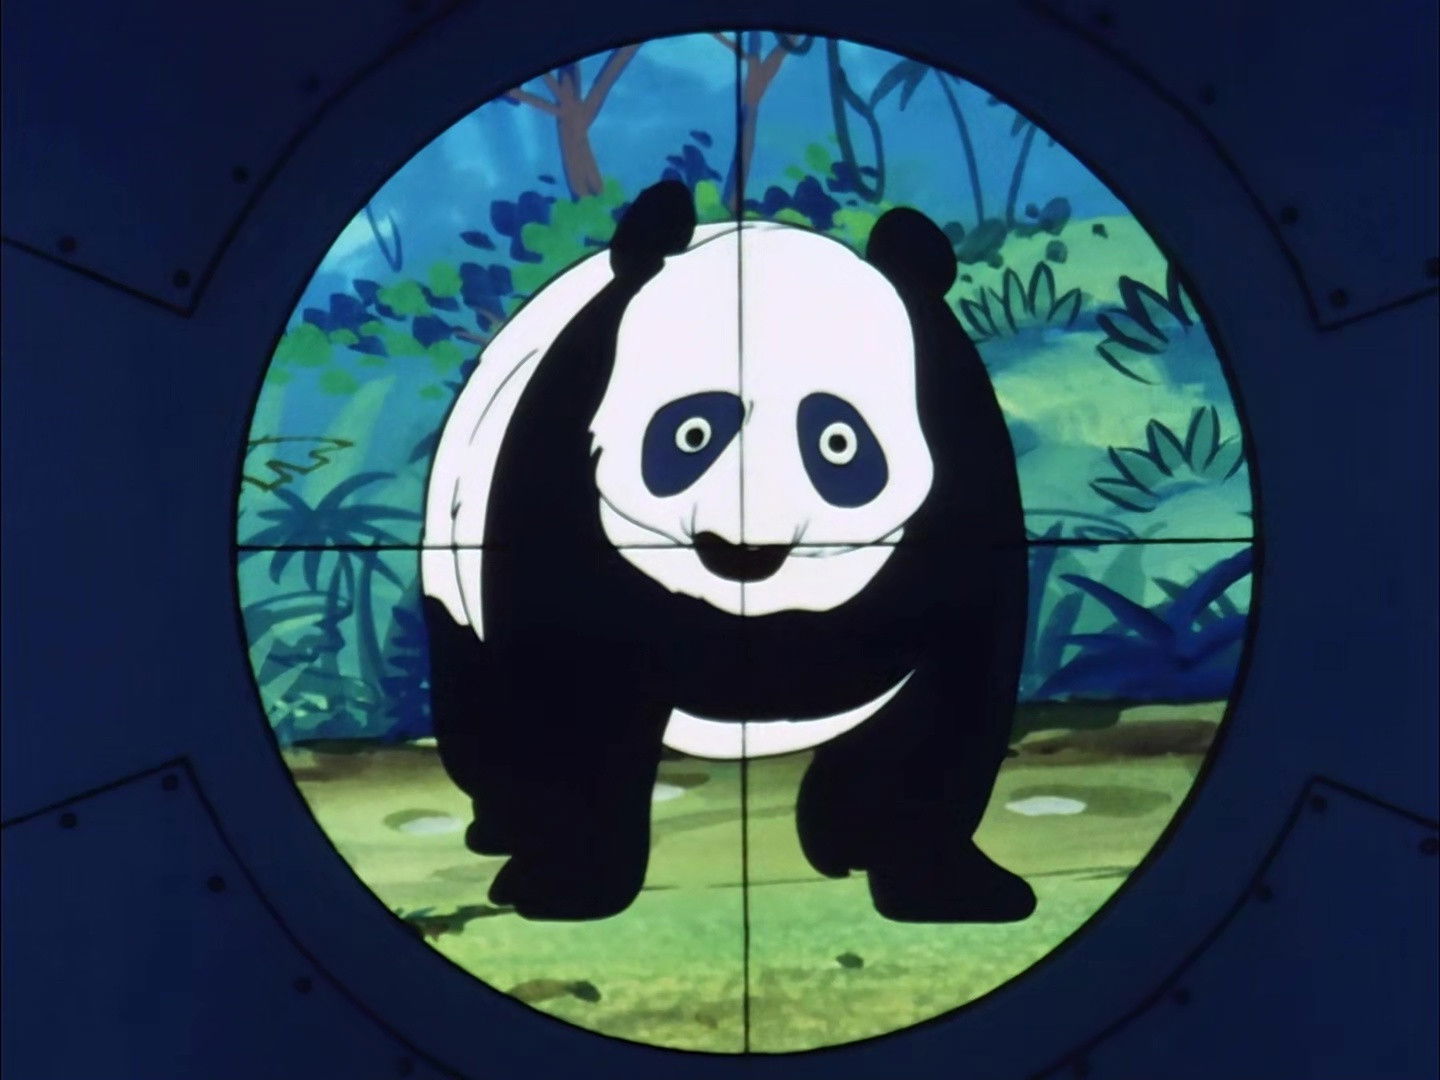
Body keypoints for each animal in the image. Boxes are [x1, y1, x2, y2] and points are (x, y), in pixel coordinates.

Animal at [420, 180, 1034, 924]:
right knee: (478, 708)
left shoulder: (962, 482)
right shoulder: (556, 472)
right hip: (450, 561)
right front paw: (566, 882)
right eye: (692, 433)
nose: (746, 552)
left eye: (838, 442)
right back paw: (503, 828)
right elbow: (573, 688)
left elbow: (944, 693)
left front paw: (942, 883)